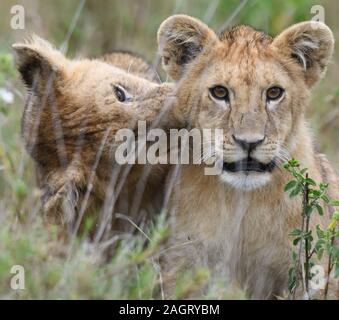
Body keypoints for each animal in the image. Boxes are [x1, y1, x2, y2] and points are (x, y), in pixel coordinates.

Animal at [157, 15, 339, 298]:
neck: (241, 203)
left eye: (274, 93)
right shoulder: (182, 262)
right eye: (219, 92)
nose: (249, 142)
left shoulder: (313, 273)